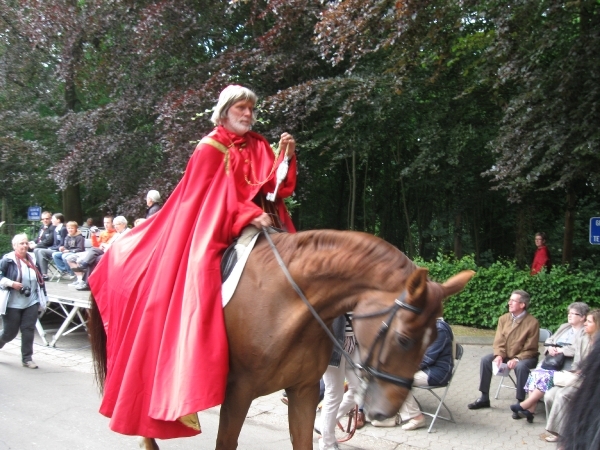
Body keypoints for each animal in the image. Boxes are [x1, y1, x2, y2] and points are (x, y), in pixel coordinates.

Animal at [89, 230, 474, 450]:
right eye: (405, 339)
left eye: (431, 340)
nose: (384, 411)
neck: (286, 300)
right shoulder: (238, 393)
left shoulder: (303, 391)